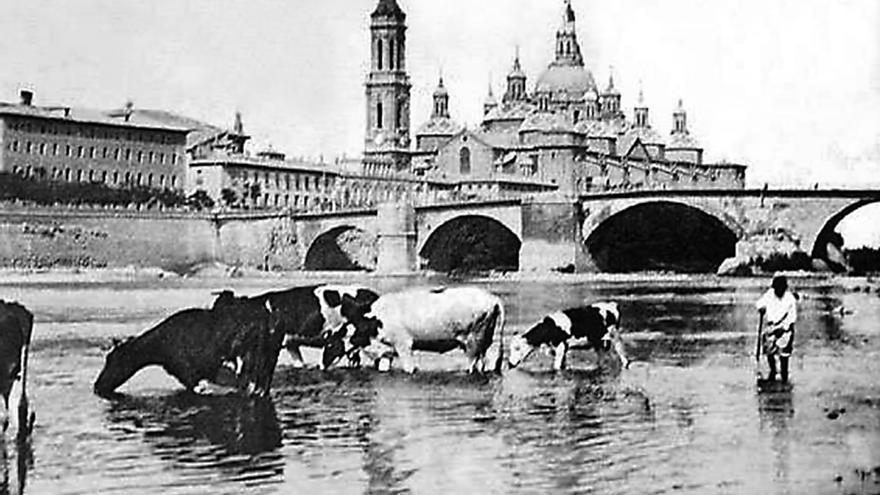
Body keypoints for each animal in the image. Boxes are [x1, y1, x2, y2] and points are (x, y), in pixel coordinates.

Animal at [323, 287, 506, 374]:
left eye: (330, 345)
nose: (322, 364)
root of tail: (493, 299)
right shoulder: (386, 351)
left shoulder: (403, 345)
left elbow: (409, 369)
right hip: (488, 341)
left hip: (473, 342)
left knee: (475, 366)